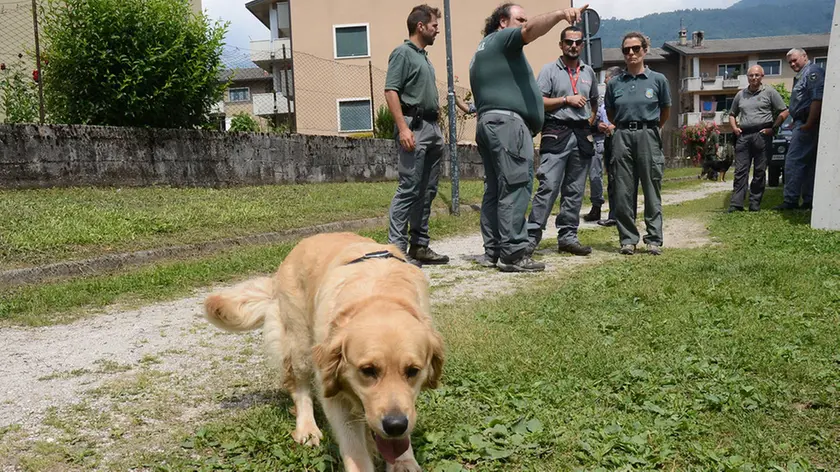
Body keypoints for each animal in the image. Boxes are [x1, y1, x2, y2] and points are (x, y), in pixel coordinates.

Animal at [203, 232, 442, 472]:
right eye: (368, 370)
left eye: (413, 371)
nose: (395, 425)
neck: (378, 297)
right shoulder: (334, 391)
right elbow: (354, 449)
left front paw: (404, 461)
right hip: (300, 346)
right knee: (299, 388)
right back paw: (307, 429)